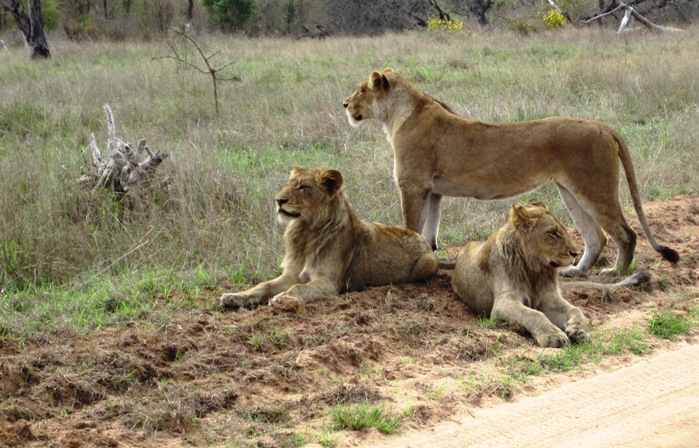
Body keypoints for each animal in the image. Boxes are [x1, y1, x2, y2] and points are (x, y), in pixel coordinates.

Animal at [220, 166, 439, 310]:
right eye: (289, 184)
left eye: (303, 187)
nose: (278, 200)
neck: (305, 230)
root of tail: (423, 241)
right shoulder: (291, 274)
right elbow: (263, 285)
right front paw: (233, 297)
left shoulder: (328, 282)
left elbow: (298, 288)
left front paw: (281, 299)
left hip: (426, 264)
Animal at [343, 68, 679, 276]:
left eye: (361, 90)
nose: (345, 103)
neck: (397, 115)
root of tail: (603, 126)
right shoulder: (434, 190)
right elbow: (429, 234)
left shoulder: (412, 185)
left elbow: (412, 228)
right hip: (570, 189)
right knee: (596, 236)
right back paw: (577, 272)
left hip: (595, 188)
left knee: (626, 234)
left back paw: (616, 275)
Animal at [451, 200, 649, 347]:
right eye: (553, 233)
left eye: (563, 229)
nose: (576, 253)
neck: (535, 269)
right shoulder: (503, 303)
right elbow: (534, 315)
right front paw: (553, 335)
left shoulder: (549, 298)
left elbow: (576, 309)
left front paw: (577, 330)